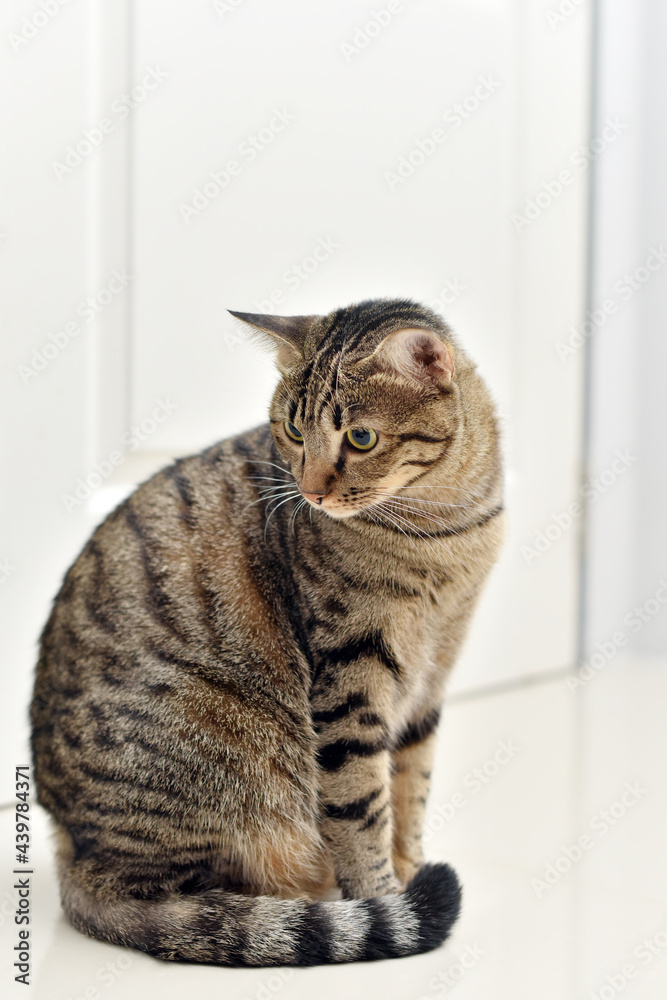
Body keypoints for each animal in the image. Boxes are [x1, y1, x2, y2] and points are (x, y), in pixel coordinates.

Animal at [31, 298, 504, 968]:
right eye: (295, 432)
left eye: (361, 438)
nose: (310, 491)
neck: (445, 531)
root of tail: (75, 856)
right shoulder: (350, 680)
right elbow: (362, 809)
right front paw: (385, 894)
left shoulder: (431, 680)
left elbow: (411, 788)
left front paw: (409, 869)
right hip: (220, 739)